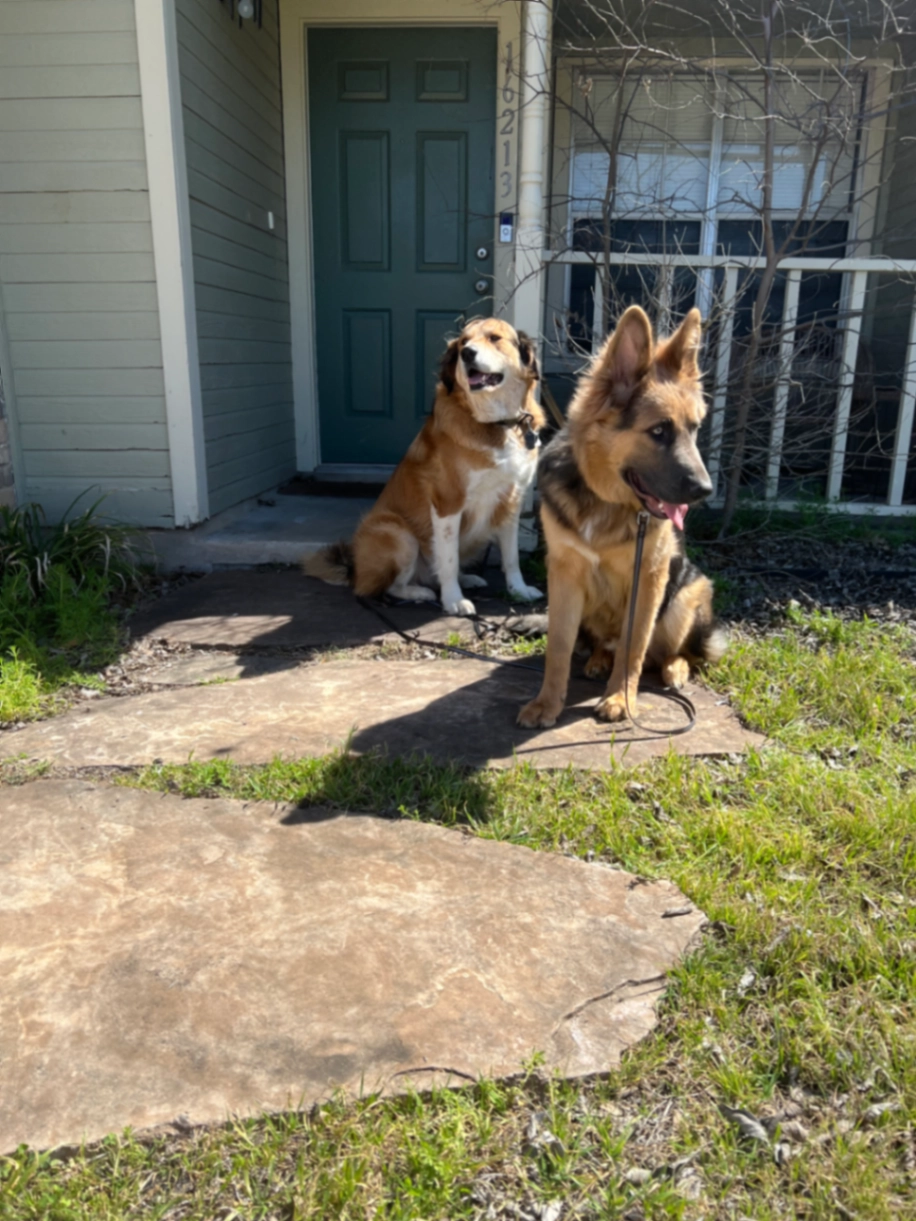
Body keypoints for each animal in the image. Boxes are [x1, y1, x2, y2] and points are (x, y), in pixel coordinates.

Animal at [304, 318, 545, 615]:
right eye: (463, 343)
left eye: (494, 338)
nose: (467, 354)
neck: (498, 423)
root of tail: (355, 570)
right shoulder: (448, 503)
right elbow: (448, 560)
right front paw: (453, 600)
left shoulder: (511, 502)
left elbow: (511, 557)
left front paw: (519, 590)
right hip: (398, 533)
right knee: (389, 586)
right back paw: (421, 592)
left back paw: (468, 578)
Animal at [517, 304, 726, 729]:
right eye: (659, 430)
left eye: (694, 428)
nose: (705, 490)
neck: (607, 500)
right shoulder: (564, 574)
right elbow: (558, 647)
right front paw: (547, 703)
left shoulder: (649, 576)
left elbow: (635, 645)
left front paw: (620, 699)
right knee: (607, 644)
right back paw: (599, 659)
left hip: (684, 596)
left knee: (672, 653)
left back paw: (674, 668)